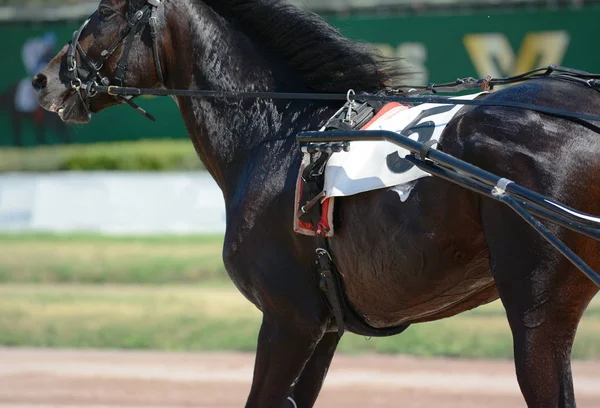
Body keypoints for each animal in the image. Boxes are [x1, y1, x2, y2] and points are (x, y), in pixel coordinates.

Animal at [34, 1, 600, 406]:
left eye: (107, 8)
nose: (45, 77)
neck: (284, 132)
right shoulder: (325, 324)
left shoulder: (289, 319)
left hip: (536, 315)